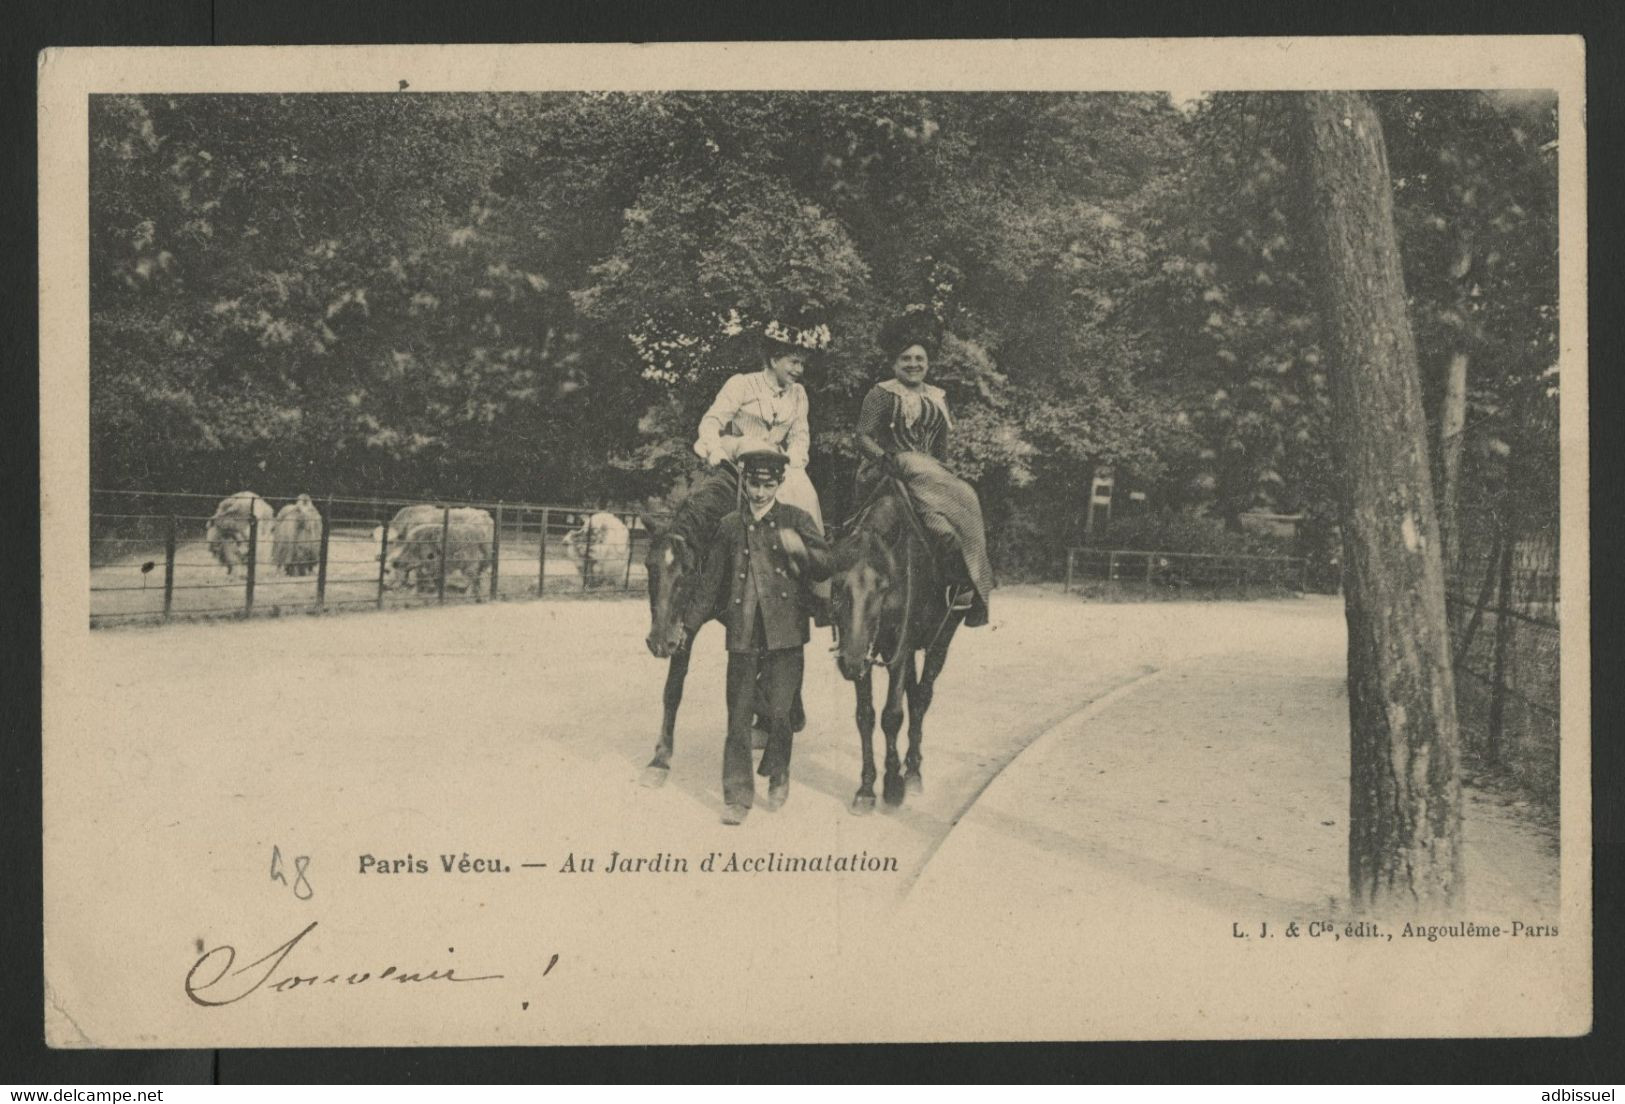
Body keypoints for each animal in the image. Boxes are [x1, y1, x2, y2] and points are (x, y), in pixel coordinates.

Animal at [832, 474, 955, 812]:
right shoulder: (867, 654)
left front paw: (892, 785)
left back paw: (912, 771)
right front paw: (866, 788)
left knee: (922, 697)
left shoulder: (898, 652)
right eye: (837, 585)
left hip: (941, 641)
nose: (849, 662)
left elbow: (892, 716)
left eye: (882, 586)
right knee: (913, 696)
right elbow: (866, 716)